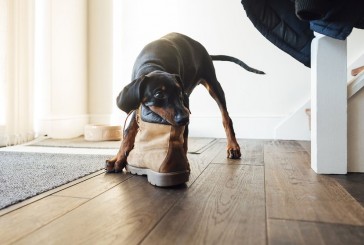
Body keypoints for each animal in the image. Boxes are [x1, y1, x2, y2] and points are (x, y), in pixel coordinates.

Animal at [106, 32, 264, 172]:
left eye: (179, 93)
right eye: (159, 94)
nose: (184, 119)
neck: (152, 64)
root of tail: (205, 51)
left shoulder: (185, 103)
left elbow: (184, 139)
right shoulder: (138, 105)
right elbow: (129, 132)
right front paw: (117, 159)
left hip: (213, 85)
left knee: (226, 117)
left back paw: (233, 146)